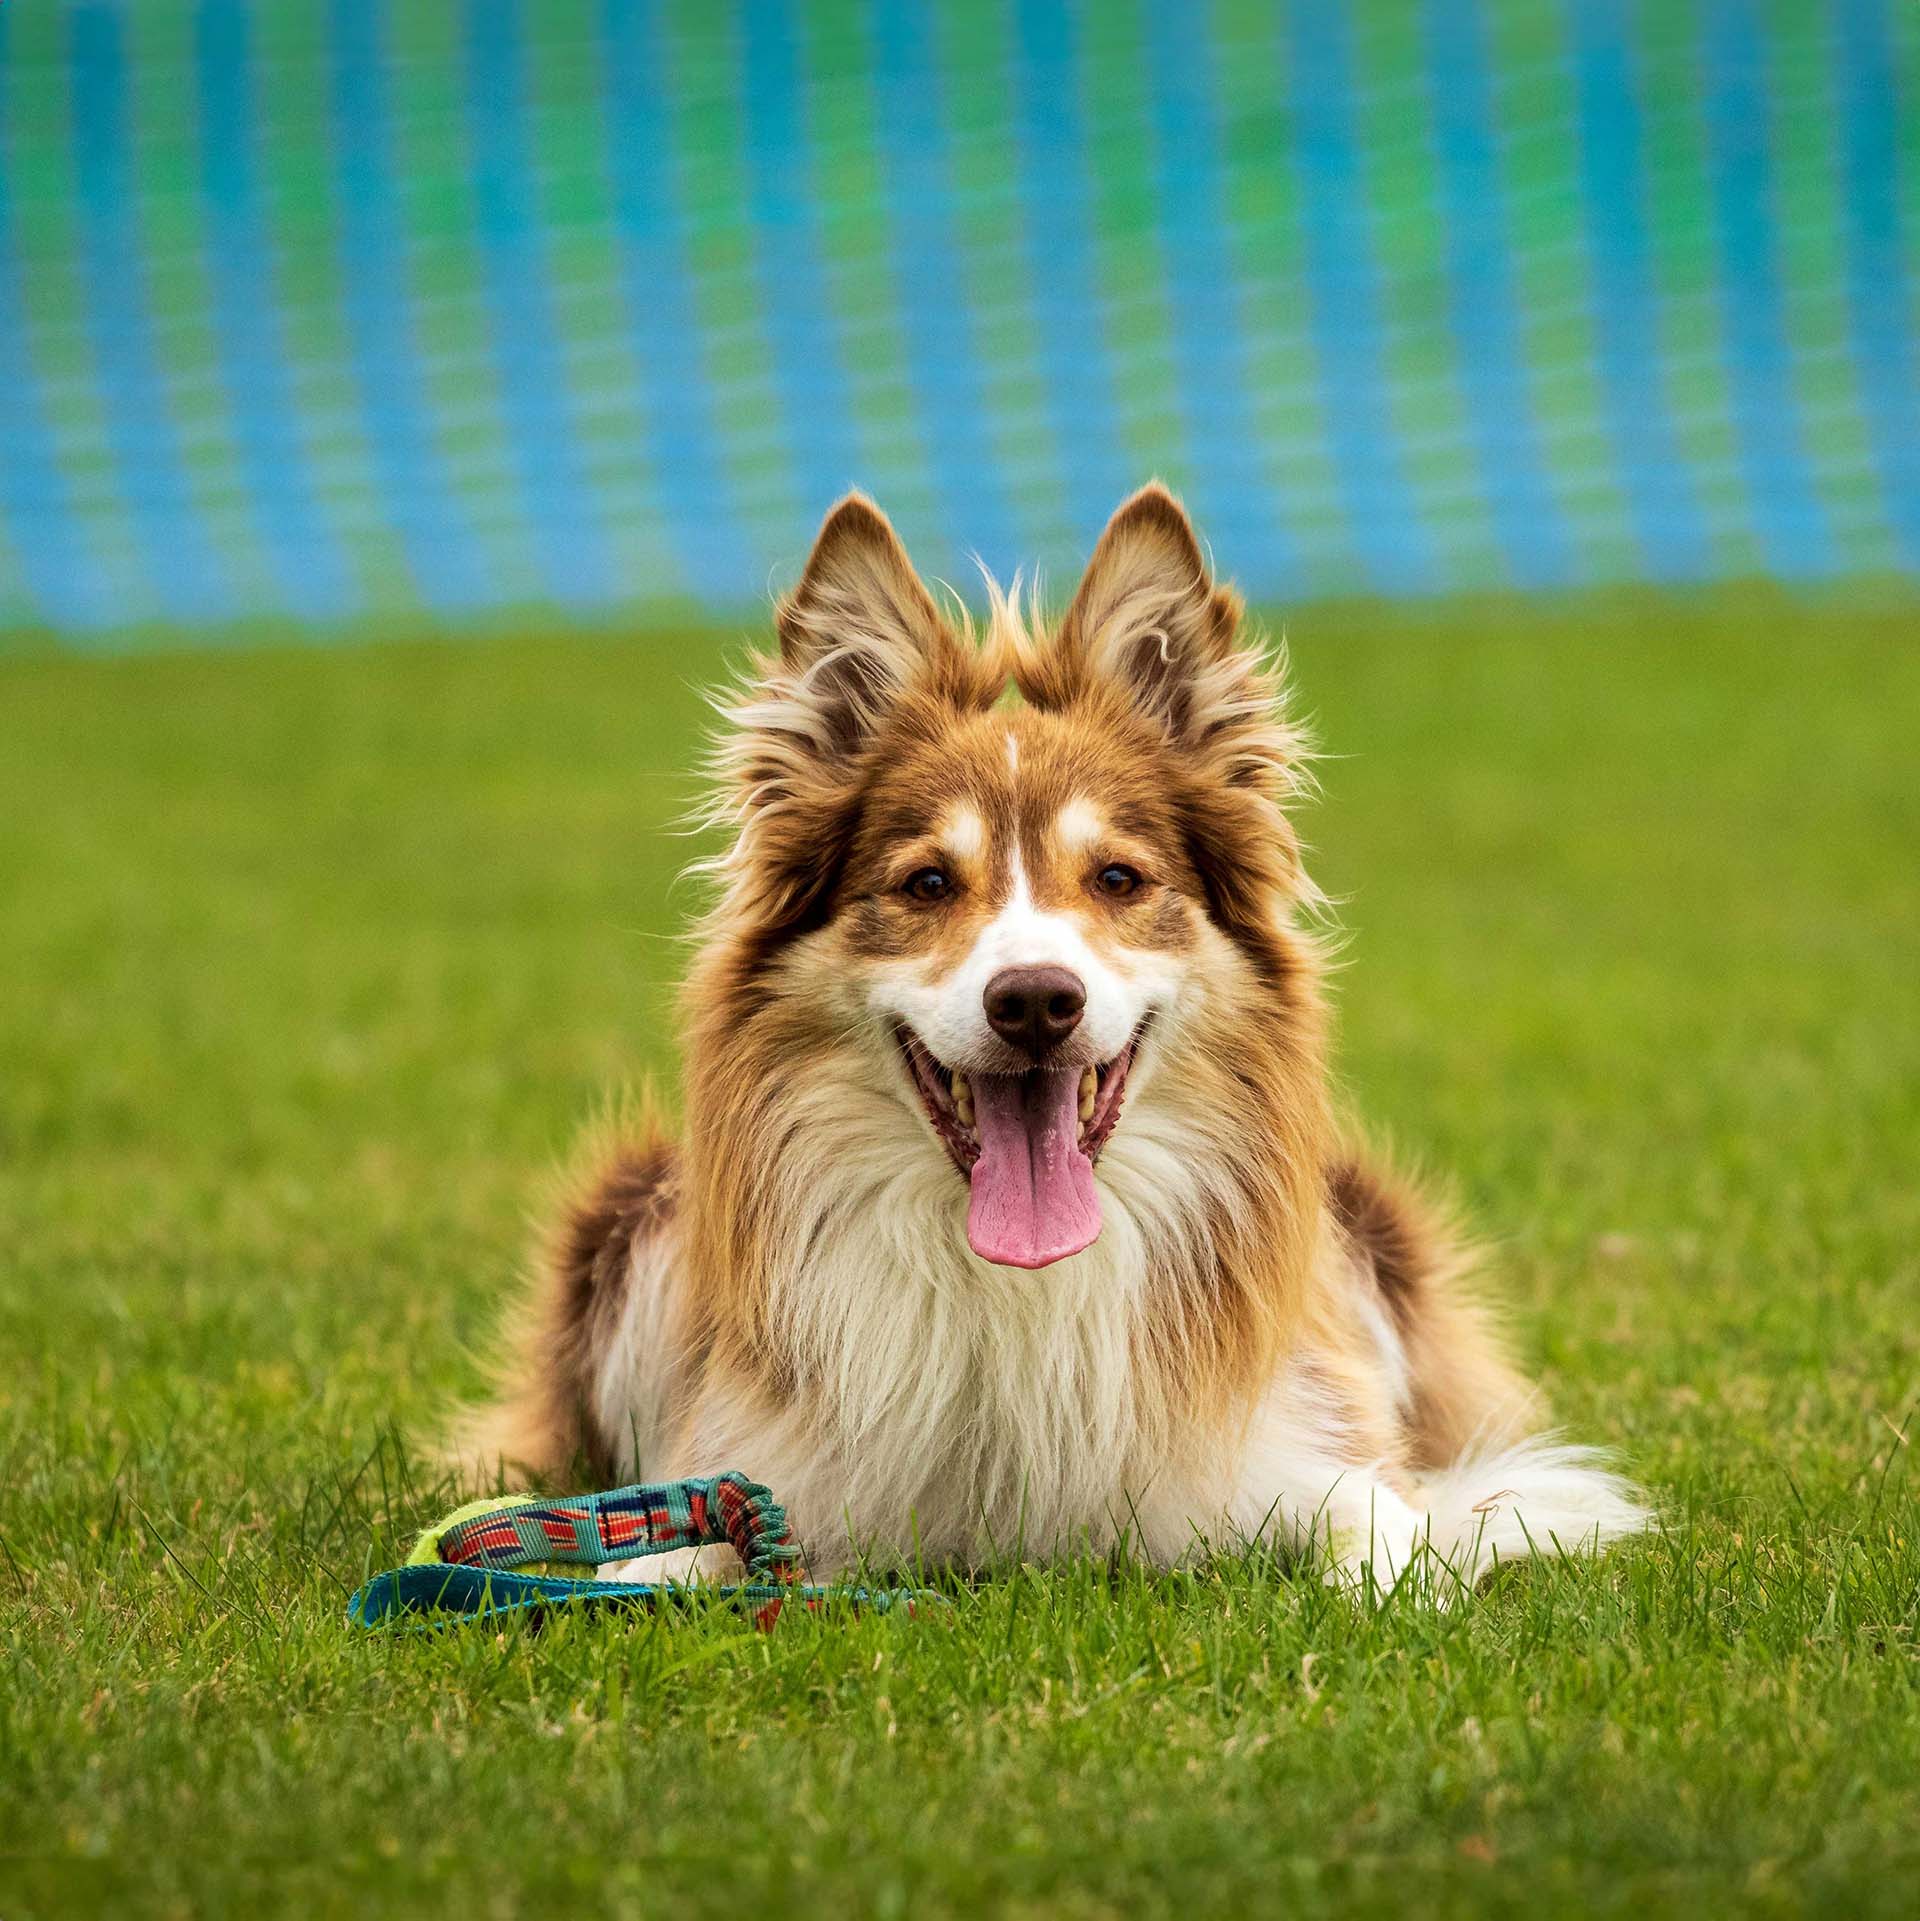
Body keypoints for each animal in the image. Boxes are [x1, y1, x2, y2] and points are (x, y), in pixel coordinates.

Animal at [457, 487, 1645, 1598]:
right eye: (928, 884)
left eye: (1116, 877)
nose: (1034, 1002)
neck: (1017, 1287)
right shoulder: (759, 1466)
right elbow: (653, 1562)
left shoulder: (1309, 1450)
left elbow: (1390, 1542)